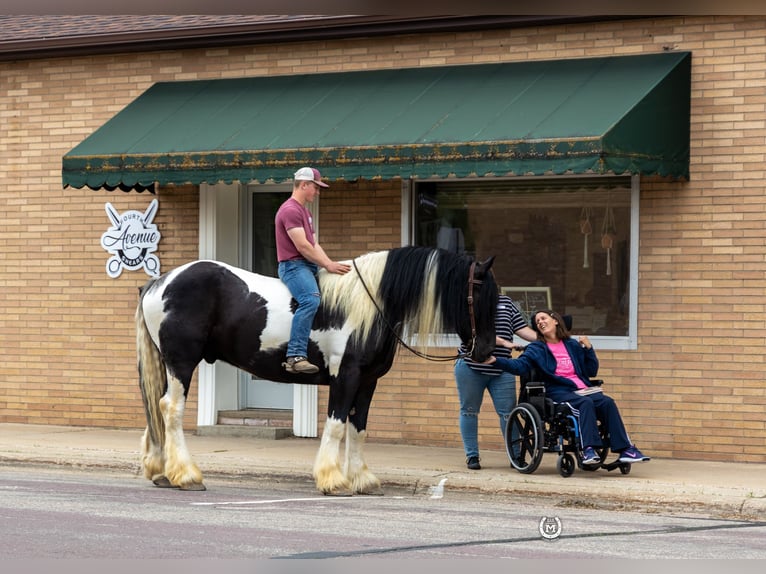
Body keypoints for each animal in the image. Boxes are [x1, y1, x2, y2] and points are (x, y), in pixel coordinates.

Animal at [137, 246, 498, 496]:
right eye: (481, 296)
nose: (485, 352)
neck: (370, 305)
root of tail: (159, 283)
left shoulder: (367, 382)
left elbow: (358, 428)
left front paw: (362, 479)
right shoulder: (345, 376)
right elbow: (337, 426)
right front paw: (333, 480)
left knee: (156, 409)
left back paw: (162, 472)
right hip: (182, 363)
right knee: (171, 409)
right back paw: (186, 475)